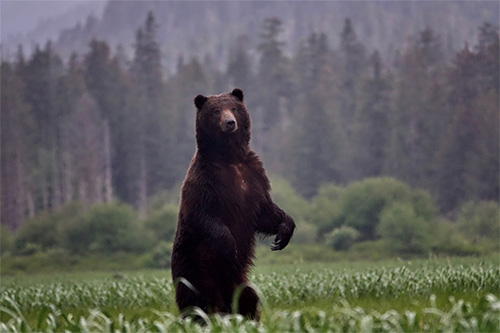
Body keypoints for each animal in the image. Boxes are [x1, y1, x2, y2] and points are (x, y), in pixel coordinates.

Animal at [170, 88, 294, 320]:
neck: (229, 158)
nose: (230, 122)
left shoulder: (254, 176)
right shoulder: (204, 181)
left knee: (249, 297)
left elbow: (264, 211)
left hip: (239, 281)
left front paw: (284, 232)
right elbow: (201, 214)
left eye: (234, 108)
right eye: (216, 110)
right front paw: (229, 246)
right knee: (200, 302)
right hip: (195, 268)